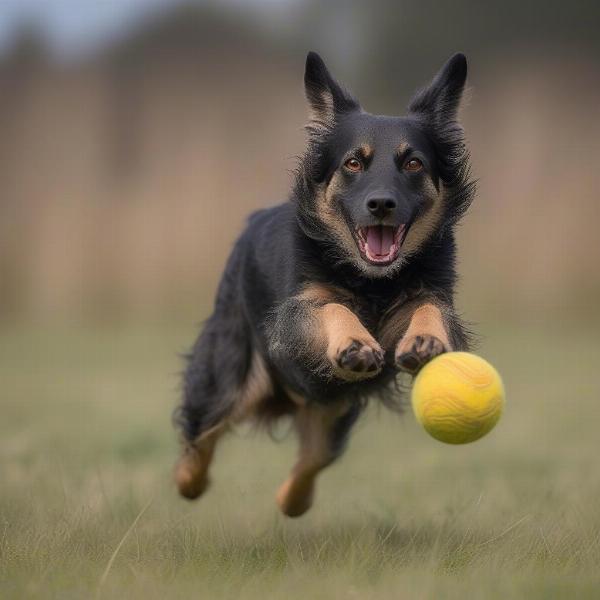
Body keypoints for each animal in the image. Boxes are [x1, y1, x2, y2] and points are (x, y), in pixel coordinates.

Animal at [172, 51, 474, 516]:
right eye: (353, 163)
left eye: (413, 163)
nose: (381, 204)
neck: (370, 281)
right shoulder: (294, 316)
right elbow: (333, 306)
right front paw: (354, 343)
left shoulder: (421, 297)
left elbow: (428, 307)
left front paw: (425, 340)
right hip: (231, 374)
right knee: (201, 430)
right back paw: (189, 481)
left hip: (331, 409)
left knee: (312, 458)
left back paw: (293, 501)